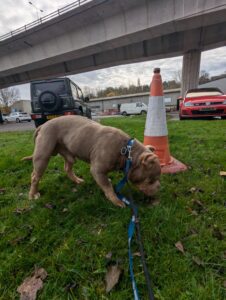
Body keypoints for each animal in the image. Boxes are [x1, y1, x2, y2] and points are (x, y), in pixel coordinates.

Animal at [24, 116, 161, 207]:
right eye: (150, 181)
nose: (159, 187)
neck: (126, 151)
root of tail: (43, 125)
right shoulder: (97, 170)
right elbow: (107, 186)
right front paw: (116, 201)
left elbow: (106, 182)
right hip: (42, 156)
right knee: (35, 176)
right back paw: (32, 195)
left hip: (68, 154)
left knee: (67, 168)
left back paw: (77, 180)